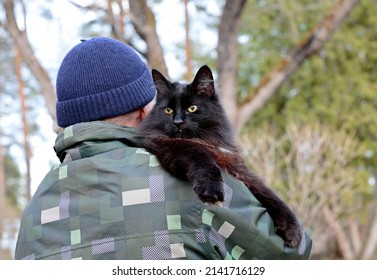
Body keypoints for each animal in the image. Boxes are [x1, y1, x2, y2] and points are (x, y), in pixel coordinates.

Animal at [137, 65, 302, 247]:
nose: (178, 122)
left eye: (192, 108)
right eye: (168, 110)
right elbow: (202, 158)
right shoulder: (172, 146)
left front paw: (293, 230)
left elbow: (268, 193)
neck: (204, 139)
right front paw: (211, 189)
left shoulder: (237, 167)